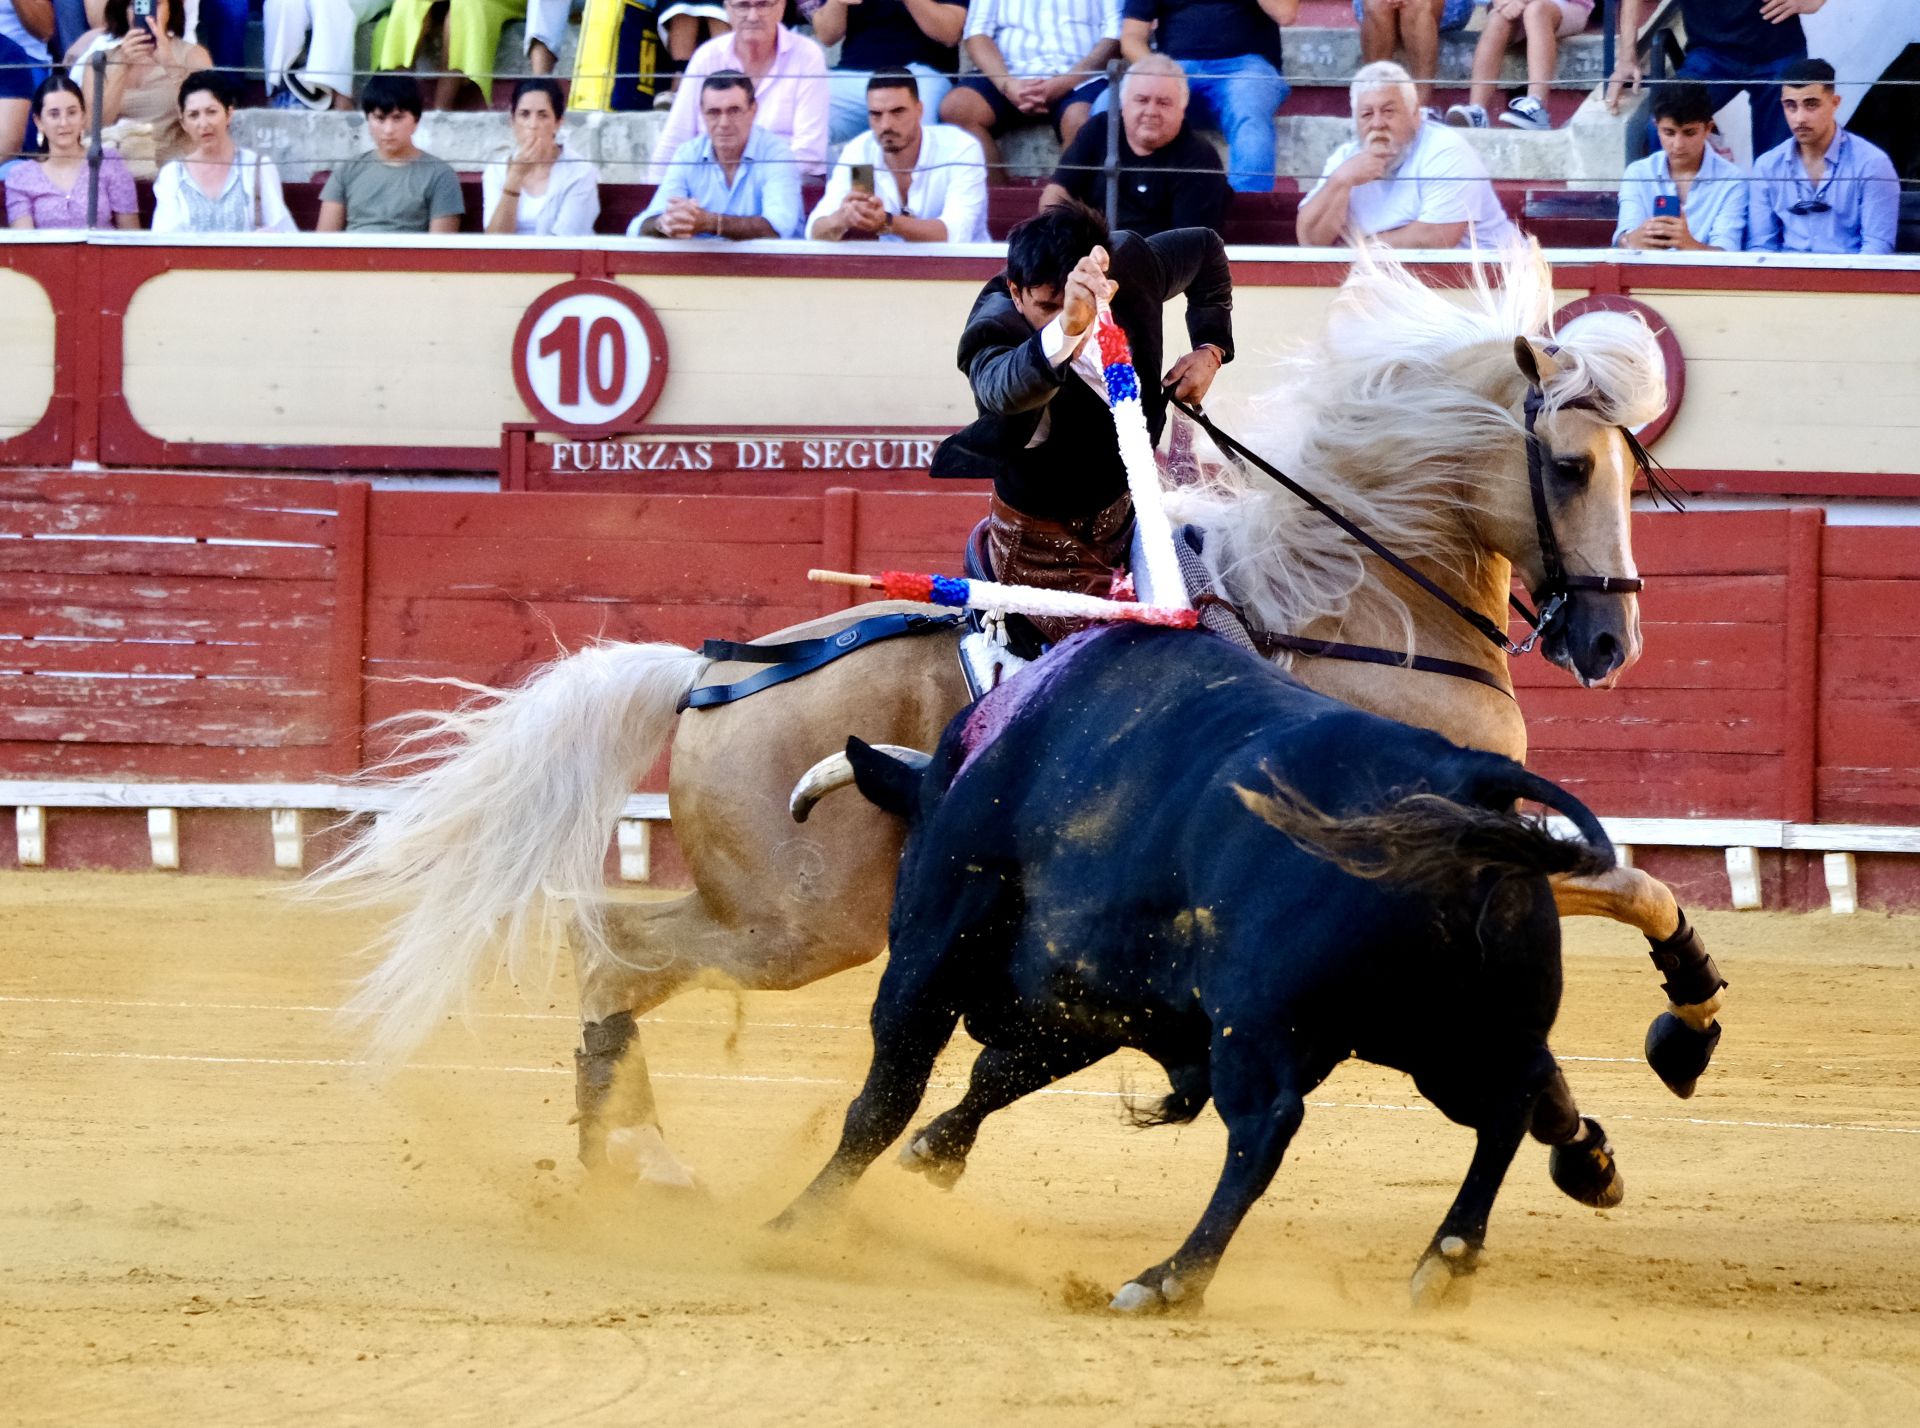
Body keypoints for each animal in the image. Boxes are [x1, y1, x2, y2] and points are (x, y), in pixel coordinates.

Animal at [326, 242, 1728, 1182]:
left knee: (617, 954)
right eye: (1567, 467)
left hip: (792, 917)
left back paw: (634, 1158)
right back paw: (639, 1164)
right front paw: (1680, 1028)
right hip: (798, 922)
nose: (1609, 641)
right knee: (619, 951)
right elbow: (1629, 878)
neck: (1353, 602)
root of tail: (709, 671)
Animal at [779, 625, 1635, 1305]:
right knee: (1513, 1099)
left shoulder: (938, 943)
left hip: (1263, 1027)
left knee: (1266, 1127)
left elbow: (887, 1095)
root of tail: (1468, 778)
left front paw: (796, 1220)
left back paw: (1170, 1279)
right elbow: (1002, 1070)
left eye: (912, 849)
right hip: (1455, 1039)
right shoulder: (1097, 993)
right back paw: (1455, 1253)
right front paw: (934, 1152)